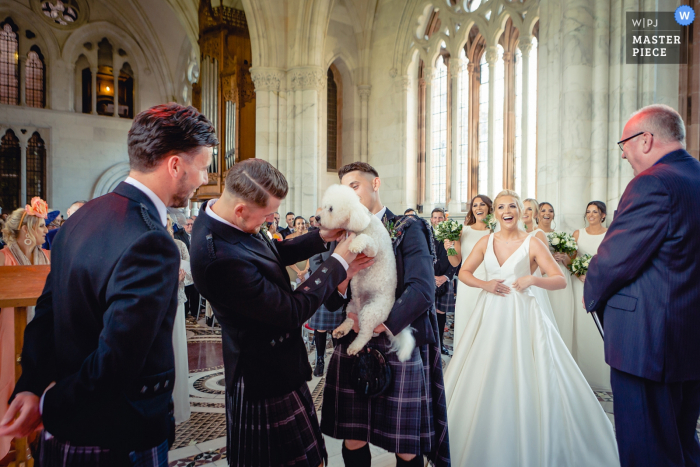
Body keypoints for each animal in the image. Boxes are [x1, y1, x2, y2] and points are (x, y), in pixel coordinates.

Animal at [318, 185, 416, 364]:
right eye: (325, 206)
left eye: (331, 209)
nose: (316, 218)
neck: (363, 221)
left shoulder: (372, 249)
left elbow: (365, 240)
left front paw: (355, 245)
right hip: (351, 305)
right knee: (350, 319)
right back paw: (341, 329)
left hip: (371, 312)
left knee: (366, 333)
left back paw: (355, 346)